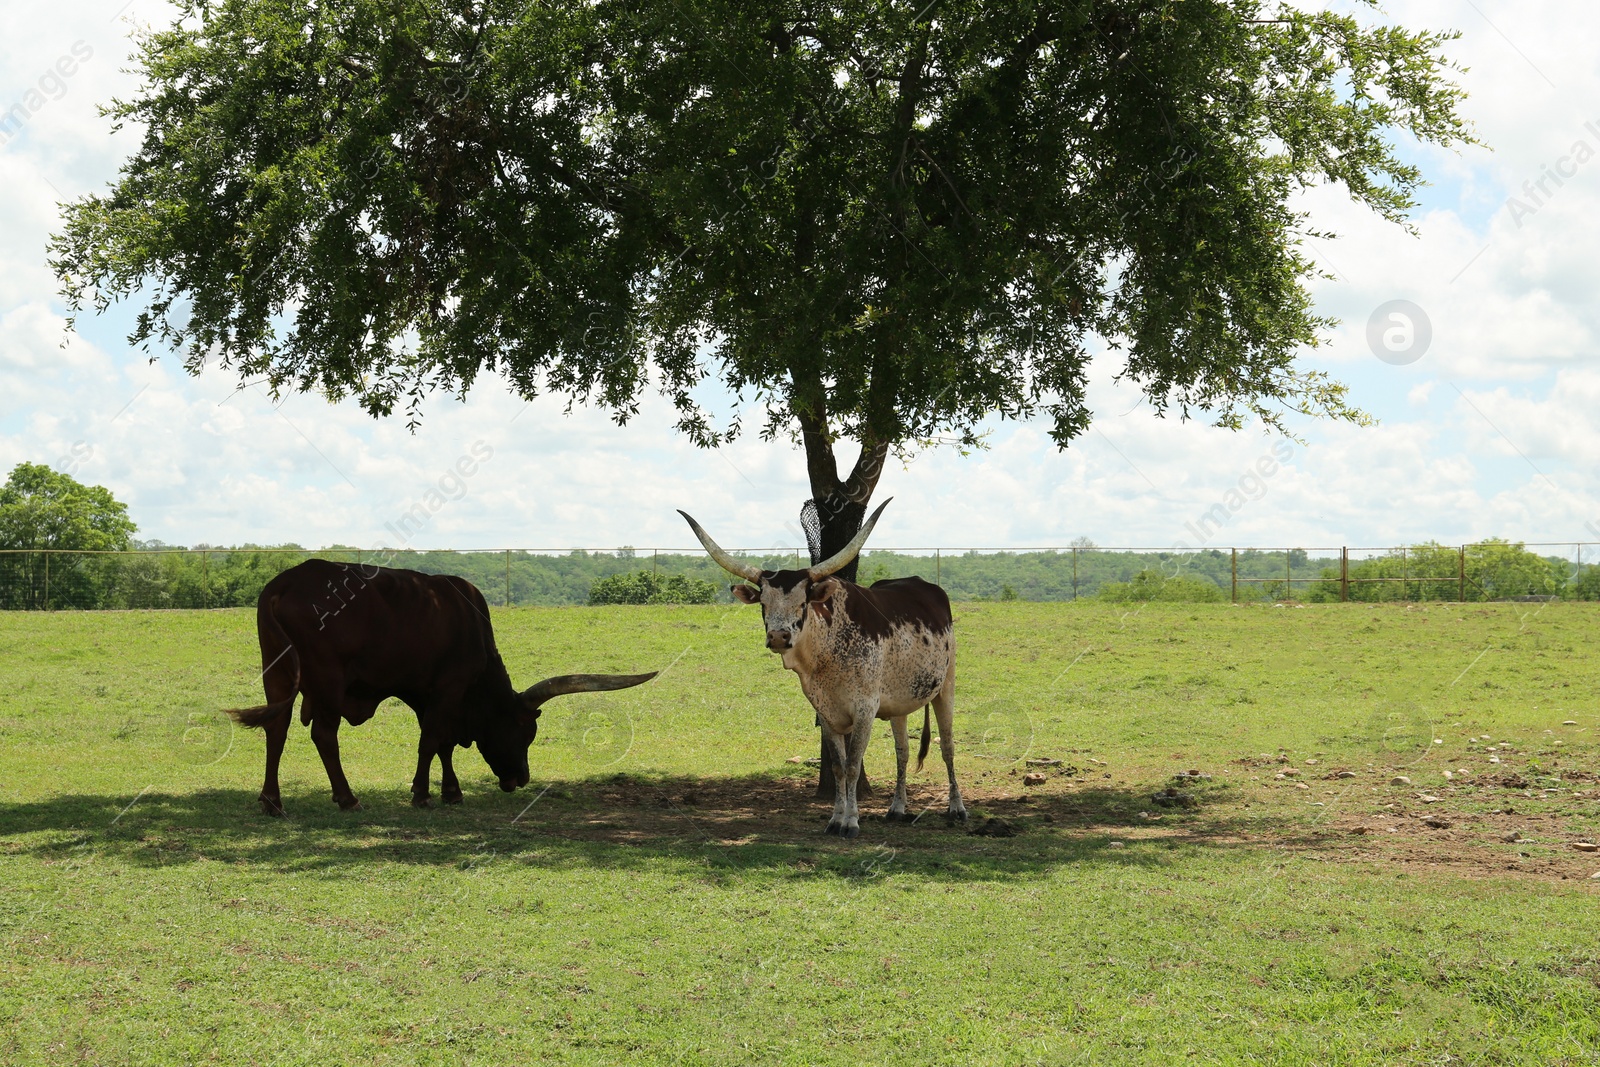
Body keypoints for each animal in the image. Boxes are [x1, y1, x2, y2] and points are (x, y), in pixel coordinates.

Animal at [225, 559, 649, 819]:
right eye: (524, 731)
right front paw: (422, 794)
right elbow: (431, 739)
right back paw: (347, 799)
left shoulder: (427, 694)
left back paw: (272, 801)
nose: (522, 778)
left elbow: (442, 742)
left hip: (277, 674)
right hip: (328, 681)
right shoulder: (449, 686)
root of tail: (285, 583)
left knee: (276, 729)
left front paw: (451, 791)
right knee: (324, 735)